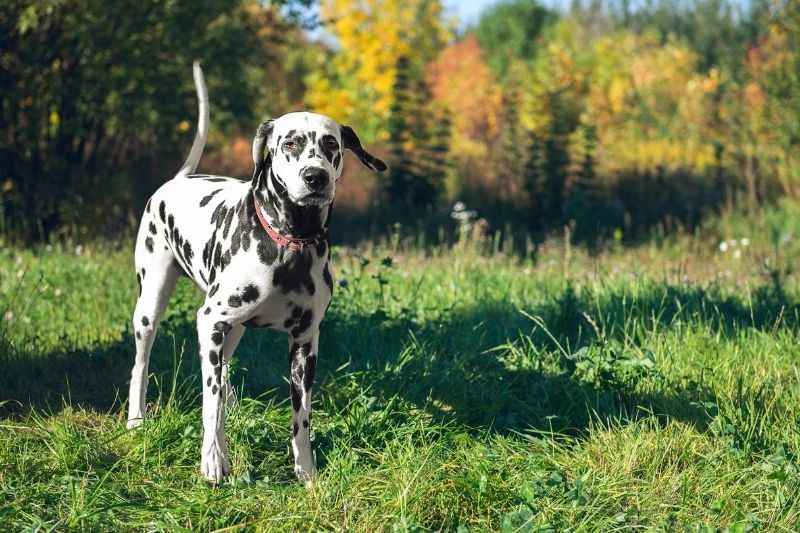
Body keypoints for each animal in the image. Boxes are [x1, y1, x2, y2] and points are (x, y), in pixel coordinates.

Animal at [126, 62, 388, 482]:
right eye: (290, 143)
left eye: (331, 145)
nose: (316, 176)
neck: (290, 244)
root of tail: (179, 180)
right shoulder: (209, 321)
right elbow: (209, 403)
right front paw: (213, 459)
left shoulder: (305, 343)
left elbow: (301, 416)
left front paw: (306, 470)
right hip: (153, 308)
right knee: (144, 366)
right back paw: (137, 421)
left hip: (231, 330)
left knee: (224, 374)